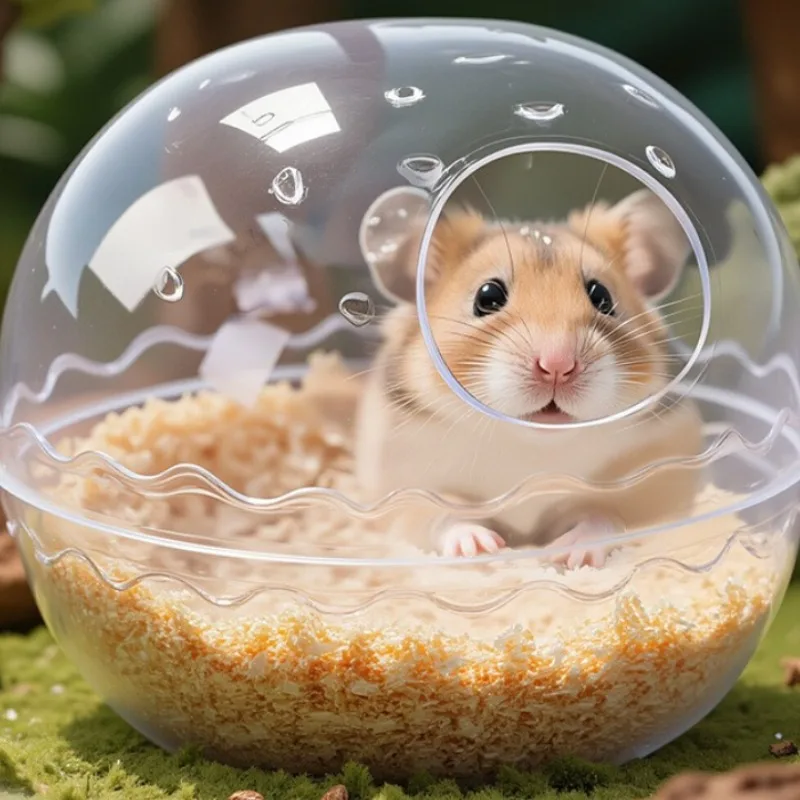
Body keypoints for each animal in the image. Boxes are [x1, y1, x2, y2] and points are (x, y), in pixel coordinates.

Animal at [353, 188, 705, 568]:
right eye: (488, 296)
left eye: (602, 296)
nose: (557, 365)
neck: (530, 445)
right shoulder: (407, 495)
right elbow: (446, 514)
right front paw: (483, 547)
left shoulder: (643, 489)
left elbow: (601, 515)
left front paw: (570, 553)